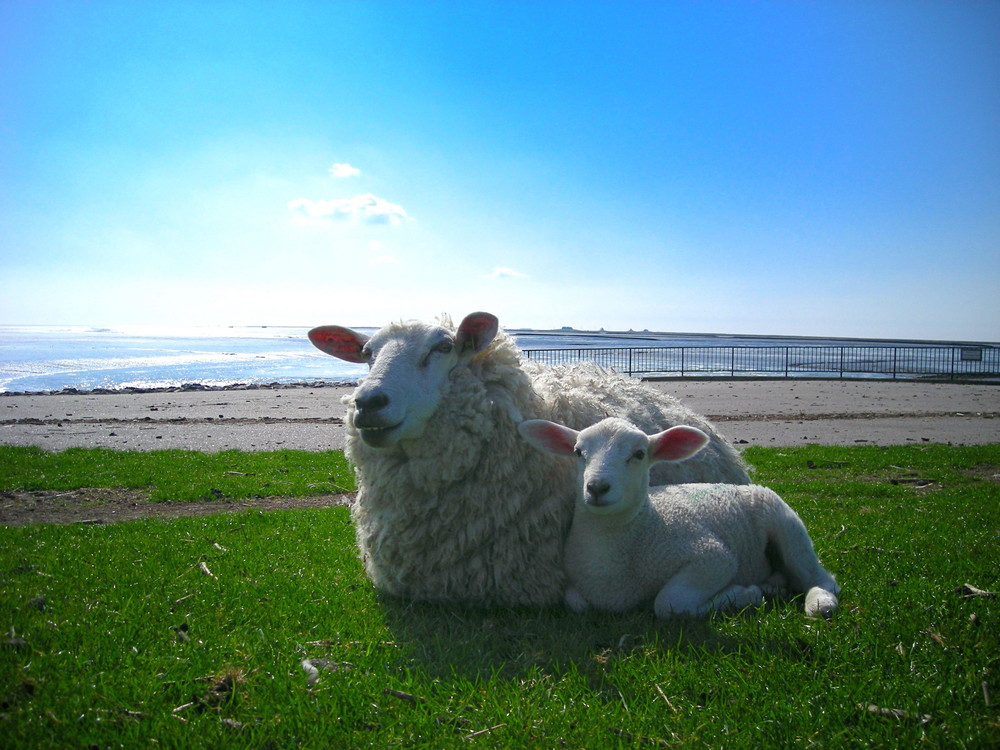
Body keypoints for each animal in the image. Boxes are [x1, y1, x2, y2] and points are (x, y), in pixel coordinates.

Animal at [520, 414, 840, 620]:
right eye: (578, 452)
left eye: (639, 454)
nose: (597, 487)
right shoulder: (577, 589)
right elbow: (575, 602)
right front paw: (748, 593)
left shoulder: (711, 557)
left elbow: (670, 604)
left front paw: (741, 595)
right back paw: (774, 585)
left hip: (785, 524)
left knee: (818, 575)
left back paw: (820, 603)